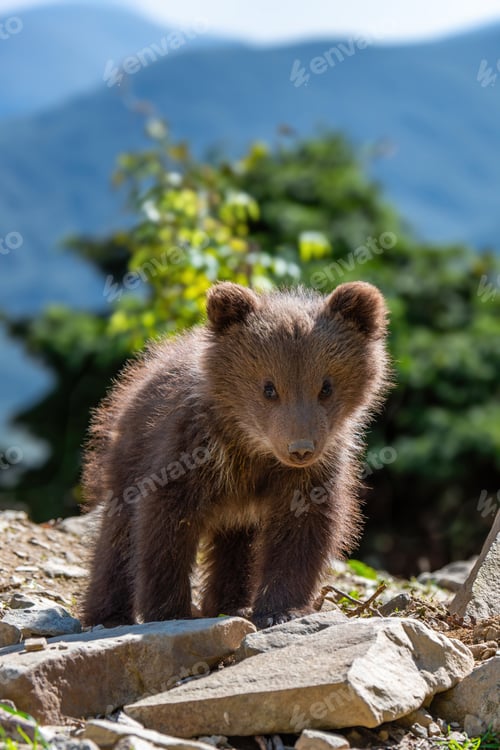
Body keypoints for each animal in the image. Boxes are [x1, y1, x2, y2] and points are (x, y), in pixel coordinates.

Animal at [81, 280, 390, 629]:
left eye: (326, 386)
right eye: (269, 387)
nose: (300, 448)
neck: (253, 448)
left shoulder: (311, 474)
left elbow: (302, 530)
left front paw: (282, 609)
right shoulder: (187, 452)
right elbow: (165, 528)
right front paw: (169, 611)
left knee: (236, 545)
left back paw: (231, 605)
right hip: (128, 456)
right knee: (117, 535)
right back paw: (108, 614)